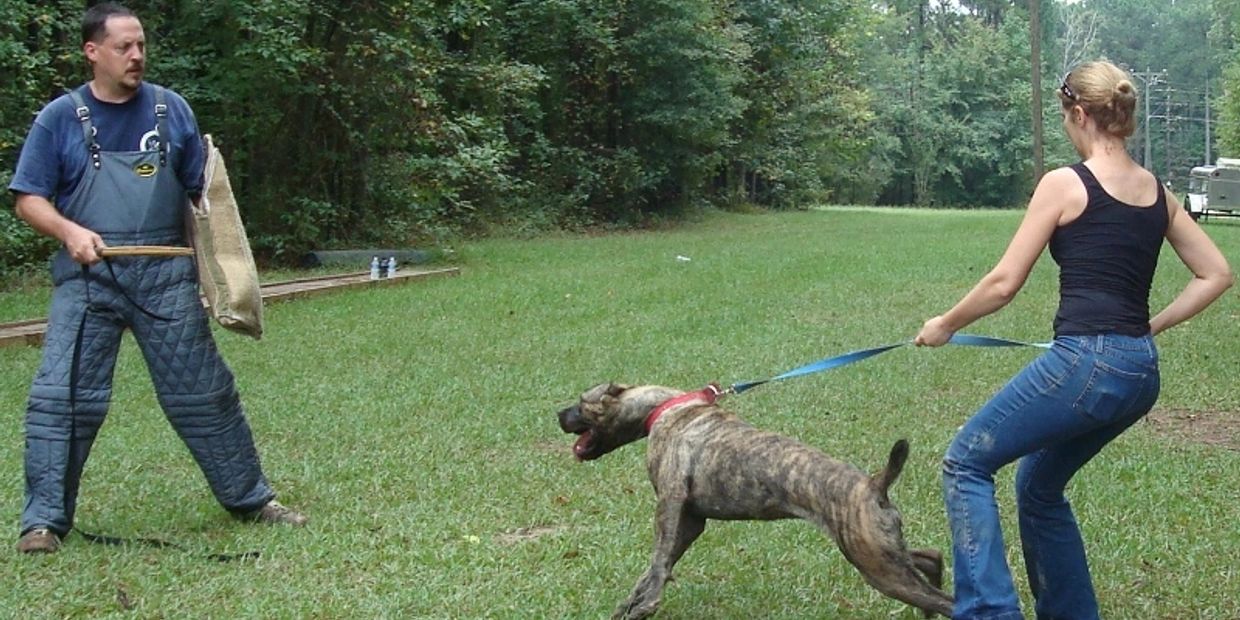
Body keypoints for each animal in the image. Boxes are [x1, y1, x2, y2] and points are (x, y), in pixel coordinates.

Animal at [558, 381, 952, 620]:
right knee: (931, 559)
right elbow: (656, 566)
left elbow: (657, 564)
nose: (557, 414)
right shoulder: (690, 522)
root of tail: (874, 485)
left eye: (581, 403)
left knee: (946, 601)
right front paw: (630, 604)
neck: (666, 406)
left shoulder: (670, 506)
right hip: (881, 550)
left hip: (878, 566)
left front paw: (644, 605)